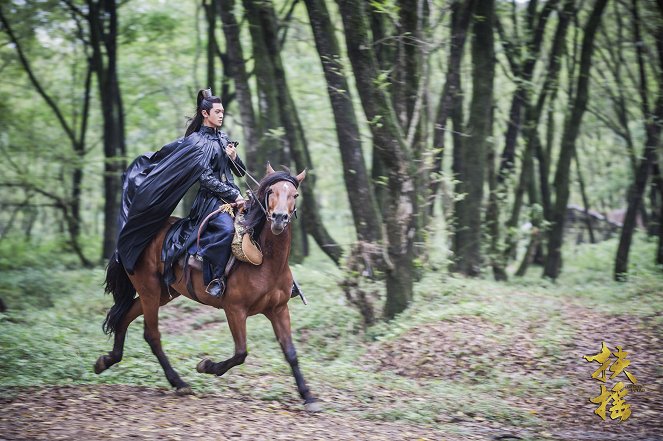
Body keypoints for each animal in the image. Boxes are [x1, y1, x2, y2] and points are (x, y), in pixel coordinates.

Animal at [94, 163, 320, 410]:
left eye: (294, 195)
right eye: (271, 192)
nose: (279, 218)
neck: (267, 262)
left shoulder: (278, 309)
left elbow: (290, 352)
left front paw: (308, 396)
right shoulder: (235, 310)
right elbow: (241, 353)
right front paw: (207, 366)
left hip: (164, 293)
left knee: (125, 317)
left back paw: (106, 360)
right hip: (149, 289)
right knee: (151, 334)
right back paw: (179, 383)